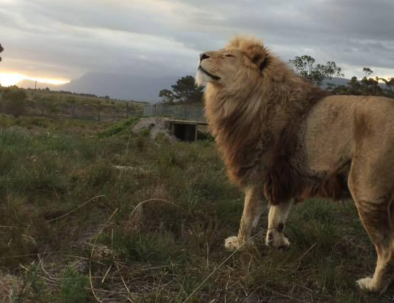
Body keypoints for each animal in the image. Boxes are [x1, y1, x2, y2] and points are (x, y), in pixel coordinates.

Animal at [197, 35, 394, 294]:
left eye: (228, 56)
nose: (201, 55)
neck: (246, 98)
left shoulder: (261, 173)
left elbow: (247, 217)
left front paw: (239, 244)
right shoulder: (284, 175)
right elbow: (277, 216)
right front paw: (277, 243)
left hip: (367, 192)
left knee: (388, 249)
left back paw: (372, 286)